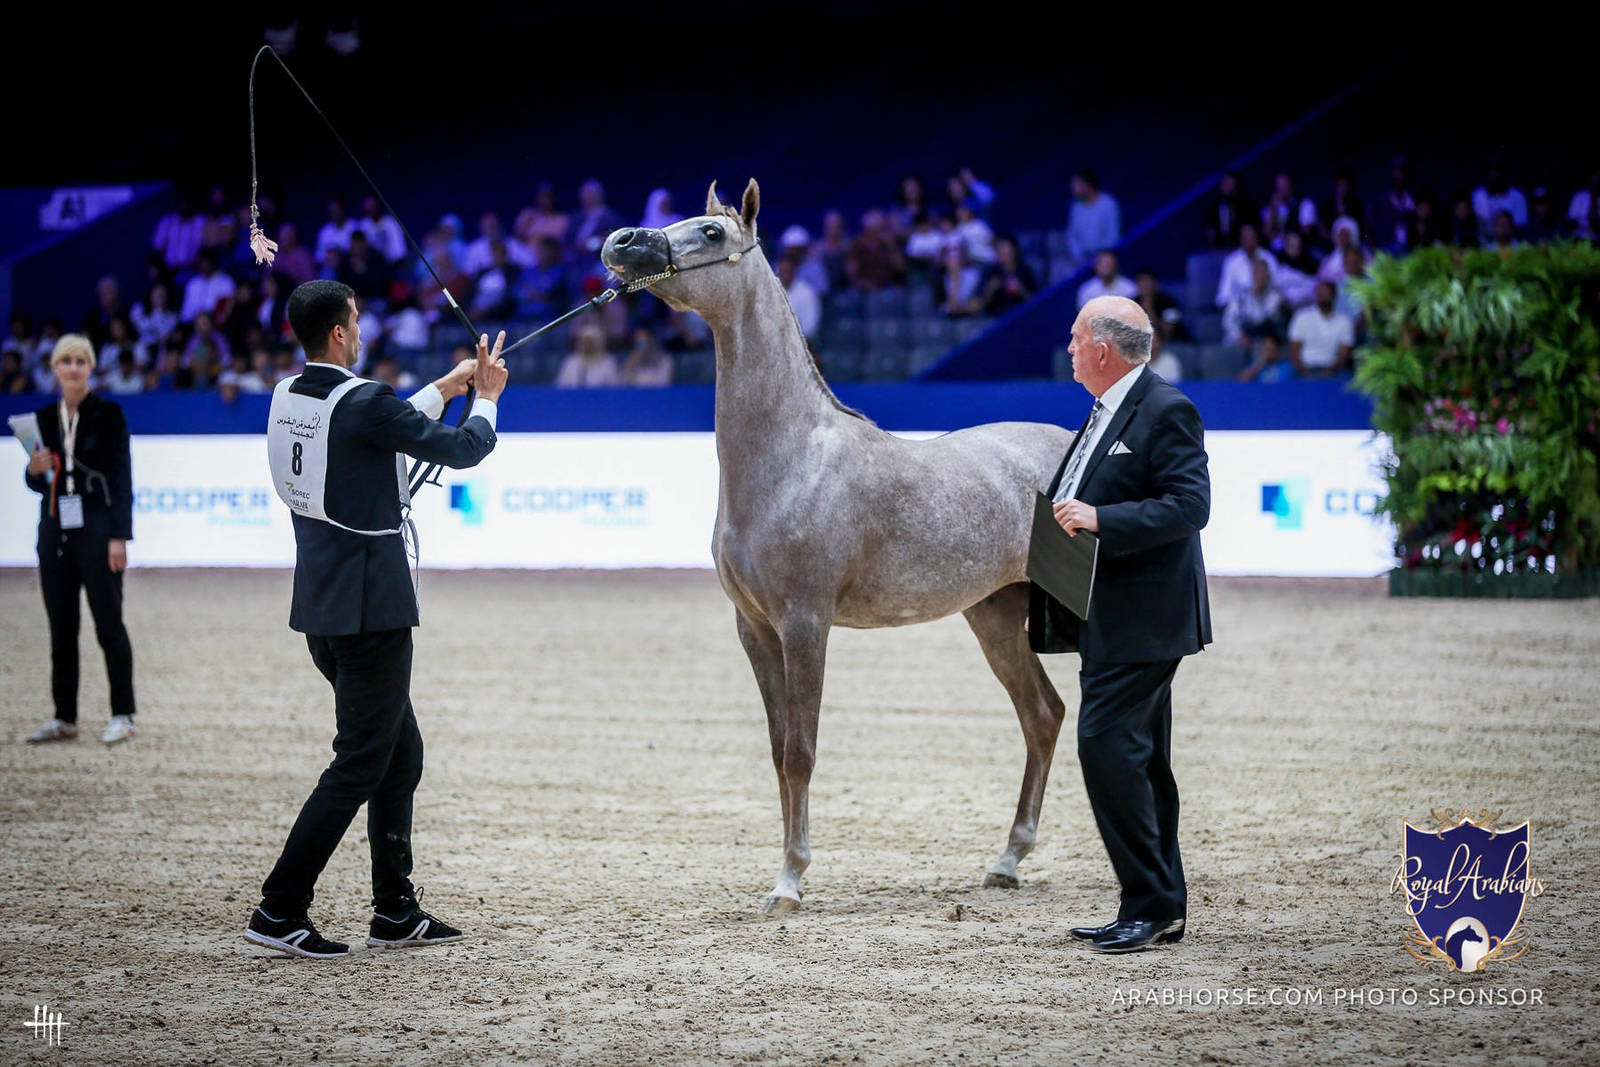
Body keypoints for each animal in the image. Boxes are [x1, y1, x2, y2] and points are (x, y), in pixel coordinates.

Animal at [603, 180, 1076, 913]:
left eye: (711, 233)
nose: (621, 241)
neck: (791, 456)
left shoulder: (806, 623)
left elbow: (802, 751)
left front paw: (790, 883)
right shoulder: (754, 628)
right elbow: (778, 751)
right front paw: (785, 872)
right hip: (995, 615)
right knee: (1043, 715)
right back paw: (1007, 859)